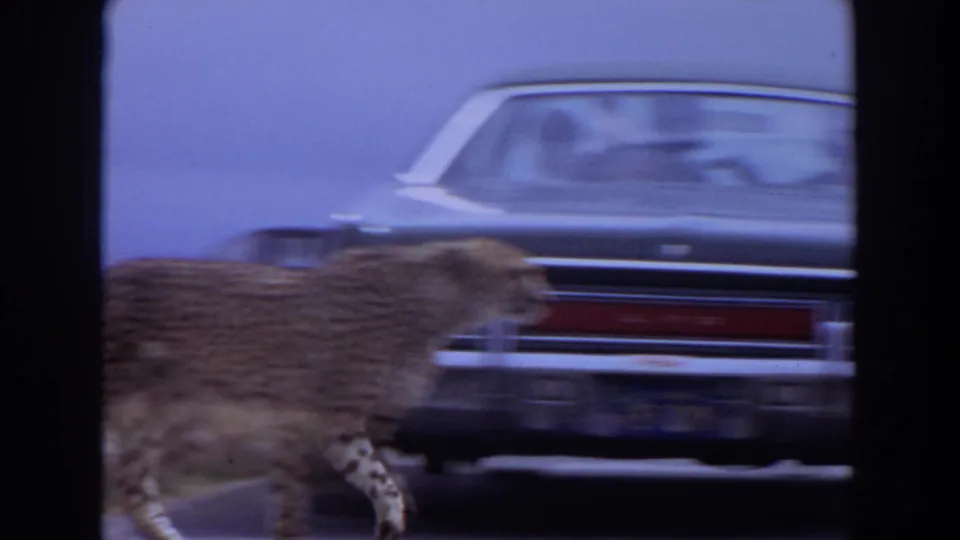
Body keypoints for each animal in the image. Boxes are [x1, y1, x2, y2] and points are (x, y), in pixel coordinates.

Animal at [102, 237, 552, 540]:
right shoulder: (300, 424)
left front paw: (391, 518)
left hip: (154, 421)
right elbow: (291, 506)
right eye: (515, 271)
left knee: (134, 492)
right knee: (131, 490)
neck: (433, 304)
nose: (548, 290)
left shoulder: (339, 427)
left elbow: (381, 482)